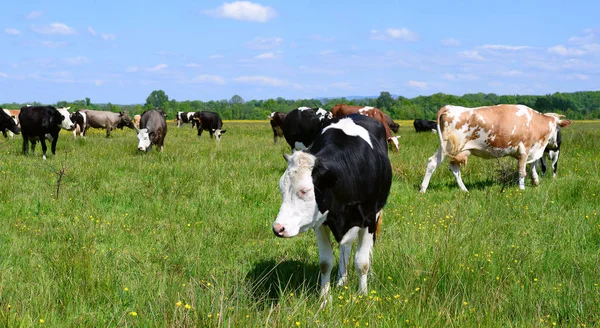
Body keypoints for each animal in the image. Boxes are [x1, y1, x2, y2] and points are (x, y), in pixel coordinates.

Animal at [272, 114, 394, 298]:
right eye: (281, 189)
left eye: (305, 190)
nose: (278, 228)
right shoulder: (321, 222)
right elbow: (325, 263)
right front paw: (324, 297)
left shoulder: (369, 219)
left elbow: (362, 262)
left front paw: (363, 294)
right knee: (345, 248)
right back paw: (341, 280)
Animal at [420, 104, 568, 192]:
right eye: (558, 128)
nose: (557, 144)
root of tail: (449, 107)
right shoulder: (524, 149)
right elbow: (522, 171)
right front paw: (521, 190)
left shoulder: (532, 150)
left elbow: (533, 165)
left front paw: (535, 181)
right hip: (449, 147)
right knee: (434, 163)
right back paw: (423, 190)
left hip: (456, 150)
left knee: (451, 167)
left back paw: (465, 190)